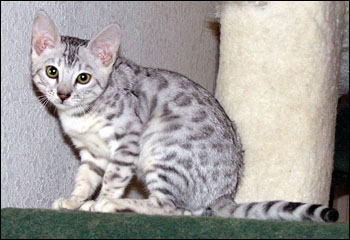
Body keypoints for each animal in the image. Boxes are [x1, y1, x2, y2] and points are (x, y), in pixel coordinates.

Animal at [30, 9, 340, 223]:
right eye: (52, 72)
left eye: (83, 78)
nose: (63, 94)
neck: (81, 115)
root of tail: (225, 193)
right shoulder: (92, 153)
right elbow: (85, 179)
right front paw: (74, 201)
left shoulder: (127, 139)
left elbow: (113, 178)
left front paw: (101, 201)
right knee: (185, 210)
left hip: (162, 148)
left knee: (169, 207)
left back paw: (119, 205)